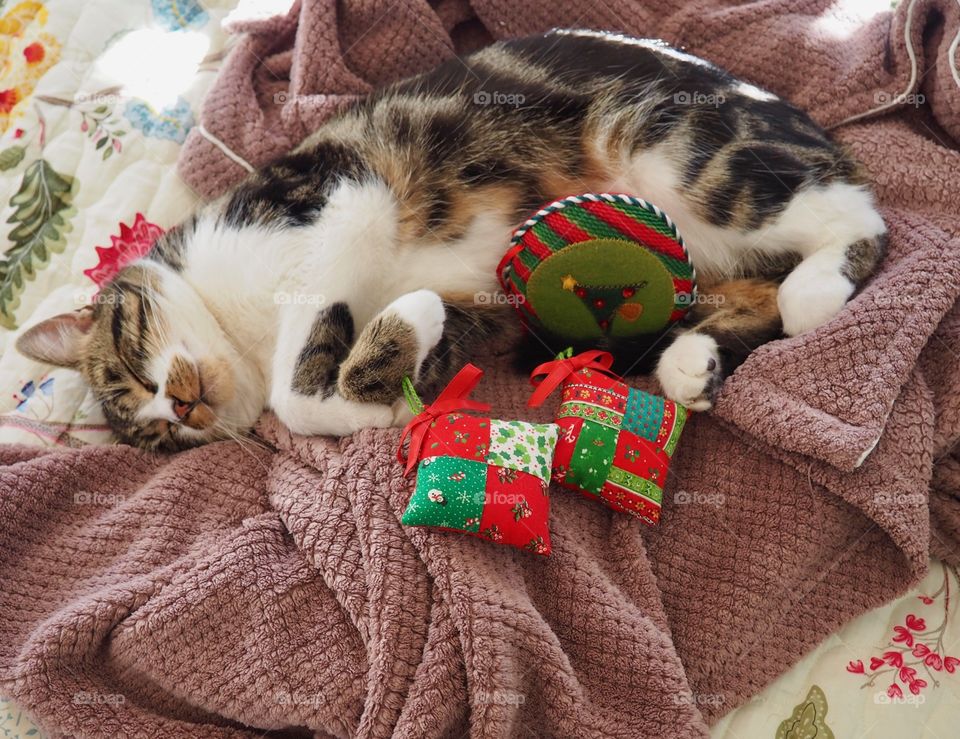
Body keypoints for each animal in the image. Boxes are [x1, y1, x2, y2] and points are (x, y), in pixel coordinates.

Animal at [13, 30, 884, 450]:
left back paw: (818, 287)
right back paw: (689, 361)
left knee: (855, 217)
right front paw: (381, 393)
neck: (240, 330)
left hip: (671, 151)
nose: (184, 405)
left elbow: (295, 391)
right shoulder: (482, 312)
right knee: (741, 290)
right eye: (161, 434)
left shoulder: (340, 195)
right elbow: (367, 374)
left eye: (130, 364)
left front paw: (357, 366)